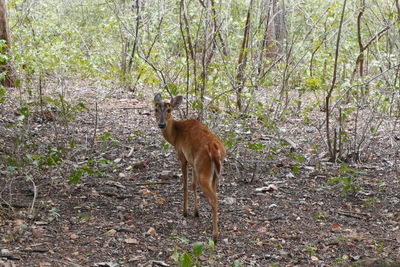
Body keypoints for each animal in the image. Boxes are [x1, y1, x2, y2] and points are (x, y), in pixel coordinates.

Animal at [154, 94, 225, 243]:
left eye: (169, 110)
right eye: (155, 109)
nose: (161, 124)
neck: (175, 135)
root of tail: (214, 149)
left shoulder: (182, 156)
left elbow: (185, 184)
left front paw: (185, 212)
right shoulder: (193, 162)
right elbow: (193, 184)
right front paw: (196, 212)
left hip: (203, 169)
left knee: (214, 198)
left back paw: (215, 235)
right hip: (213, 172)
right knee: (215, 193)